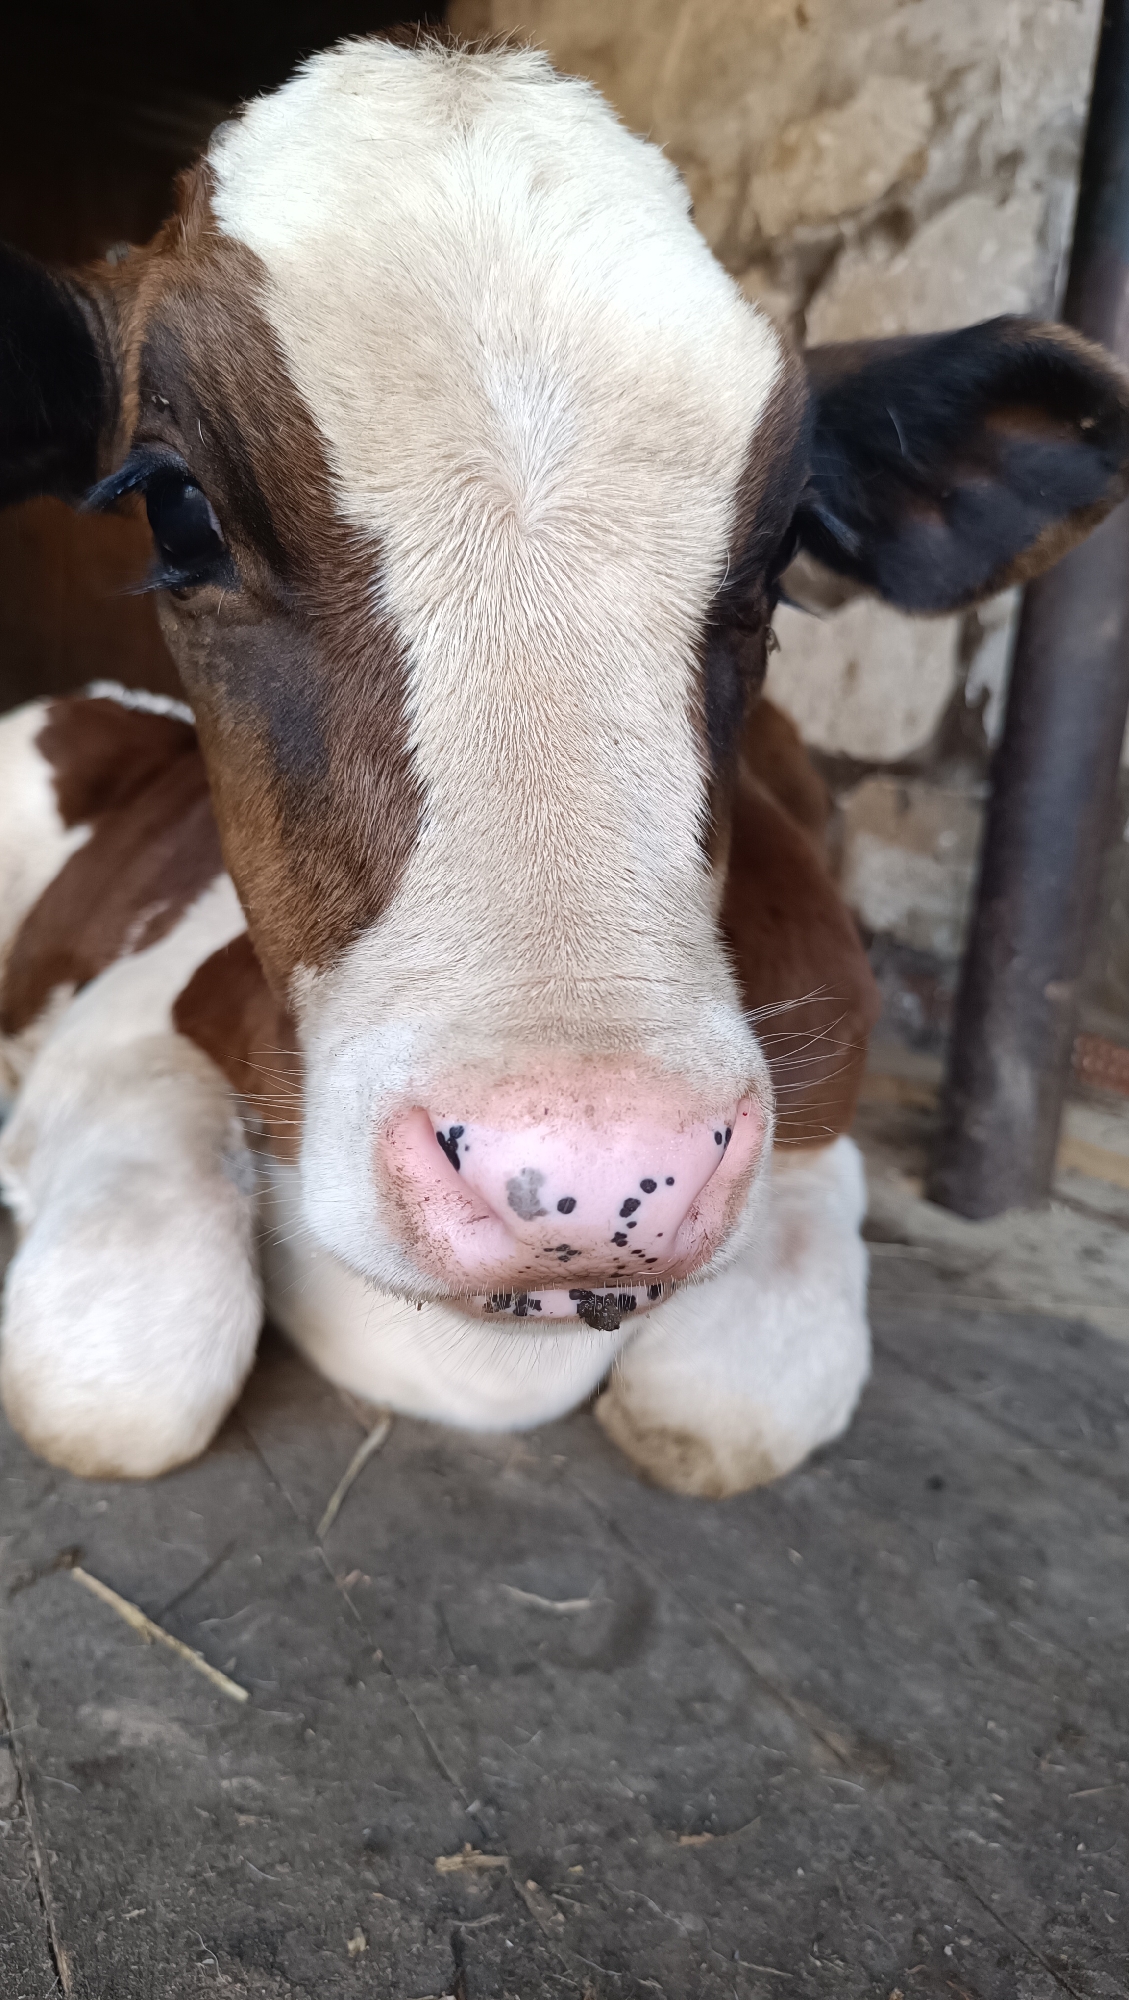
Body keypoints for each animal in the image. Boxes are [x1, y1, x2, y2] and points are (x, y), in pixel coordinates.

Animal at [0, 35, 1126, 1495]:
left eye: (786, 545)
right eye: (177, 504)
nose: (598, 1174)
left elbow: (728, 1396)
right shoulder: (129, 1022)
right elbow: (117, 1378)